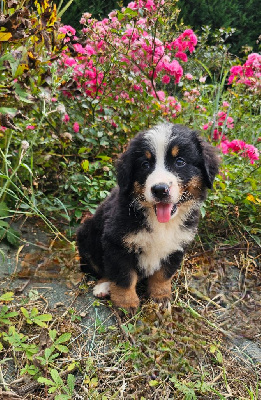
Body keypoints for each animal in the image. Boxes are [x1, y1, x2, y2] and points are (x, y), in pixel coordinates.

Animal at [76, 123, 218, 314]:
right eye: (145, 164)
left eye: (180, 162)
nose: (160, 189)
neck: (161, 223)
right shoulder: (116, 243)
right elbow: (123, 276)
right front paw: (126, 303)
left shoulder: (177, 245)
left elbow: (163, 274)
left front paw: (161, 295)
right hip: (87, 236)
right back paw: (103, 286)